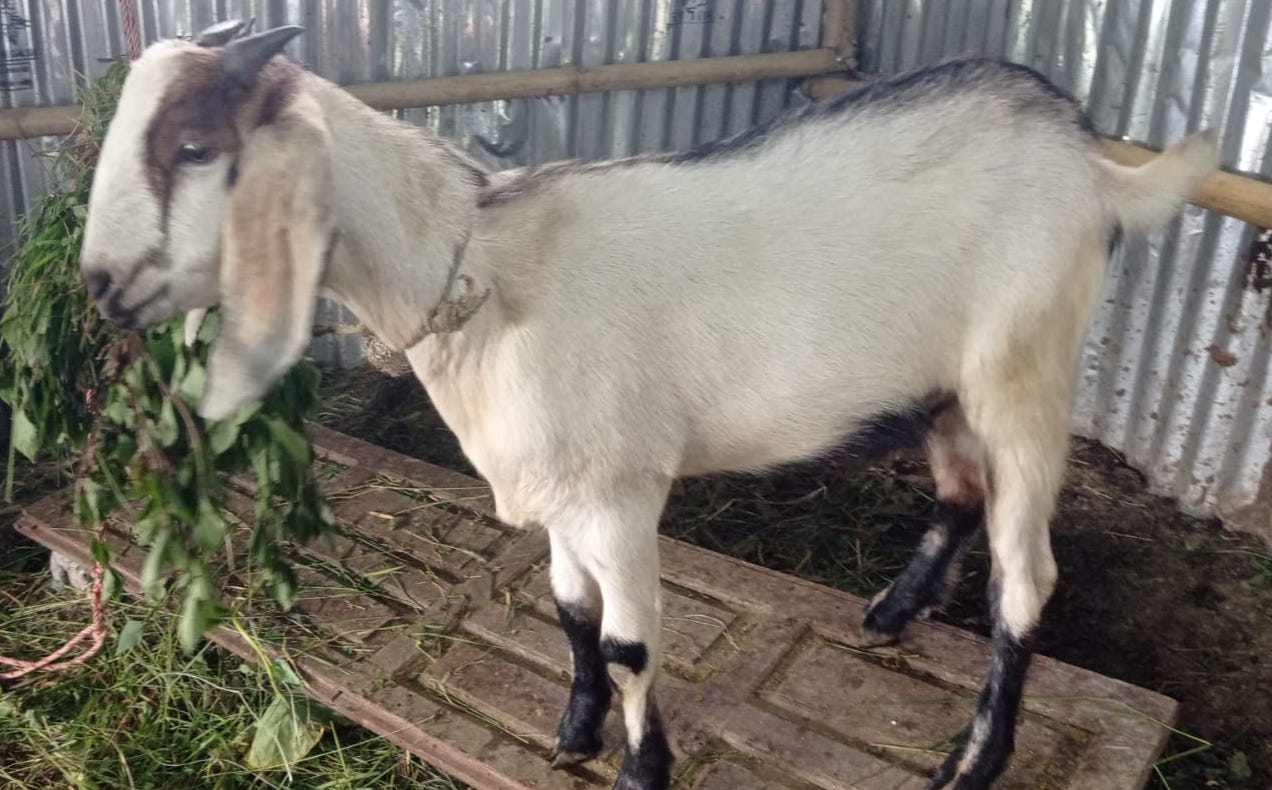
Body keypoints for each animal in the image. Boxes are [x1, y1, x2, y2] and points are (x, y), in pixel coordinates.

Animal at [79, 22, 1218, 790]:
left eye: (193, 145)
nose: (98, 286)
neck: (482, 272)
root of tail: (1087, 155)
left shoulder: (618, 492)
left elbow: (628, 643)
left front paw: (641, 766)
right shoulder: (559, 485)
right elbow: (569, 611)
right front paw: (574, 730)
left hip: (1028, 369)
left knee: (1027, 578)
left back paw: (970, 762)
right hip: (945, 381)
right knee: (958, 489)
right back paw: (893, 611)